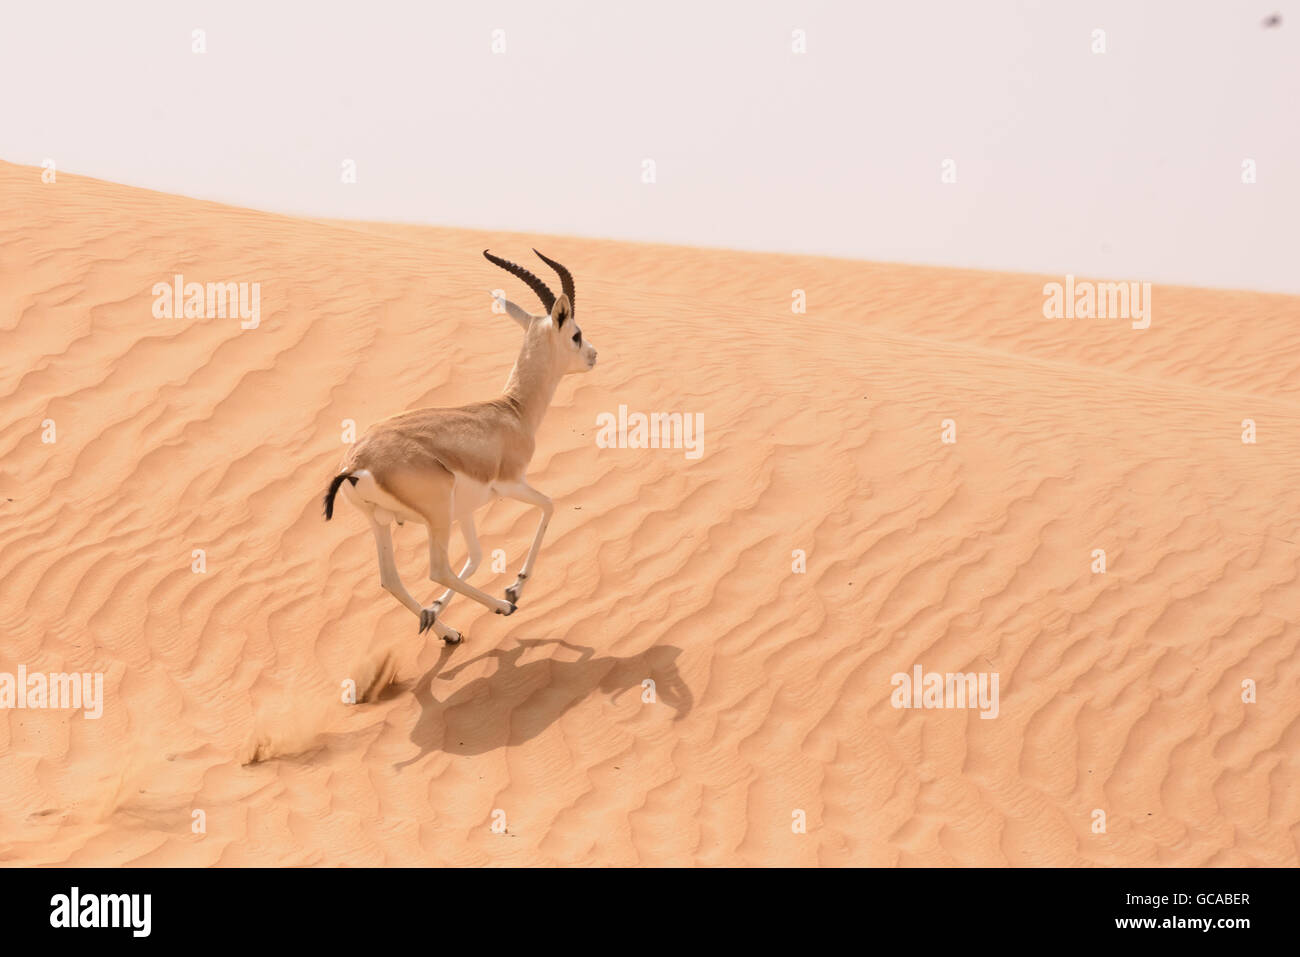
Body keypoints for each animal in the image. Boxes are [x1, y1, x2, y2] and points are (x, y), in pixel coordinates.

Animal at [322, 250, 597, 645]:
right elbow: (549, 506)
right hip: (436, 517)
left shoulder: (465, 510)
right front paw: (515, 589)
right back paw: (501, 606)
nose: (593, 355)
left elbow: (477, 557)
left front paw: (434, 609)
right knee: (438, 569)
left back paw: (446, 631)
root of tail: (355, 464)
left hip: (382, 522)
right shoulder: (511, 484)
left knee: (391, 579)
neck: (511, 411)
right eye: (575, 334)